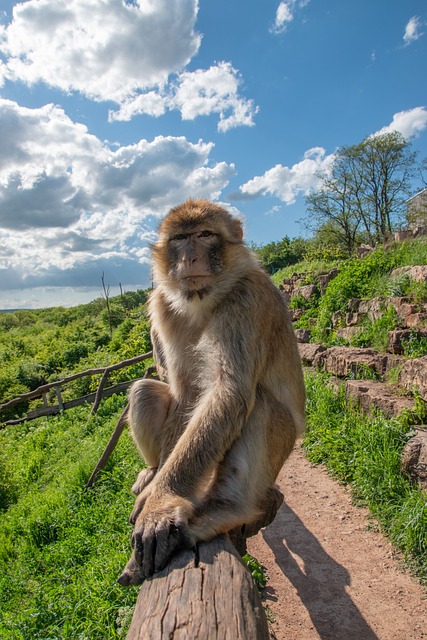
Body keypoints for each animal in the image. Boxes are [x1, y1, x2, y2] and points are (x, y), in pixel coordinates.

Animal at [117, 199, 306, 584]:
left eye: (205, 235)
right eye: (180, 238)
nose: (190, 258)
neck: (203, 301)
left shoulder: (246, 300)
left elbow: (229, 392)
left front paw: (162, 501)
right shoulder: (162, 305)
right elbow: (187, 392)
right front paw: (156, 488)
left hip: (280, 450)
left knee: (260, 405)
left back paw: (225, 510)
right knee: (144, 390)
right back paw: (152, 471)